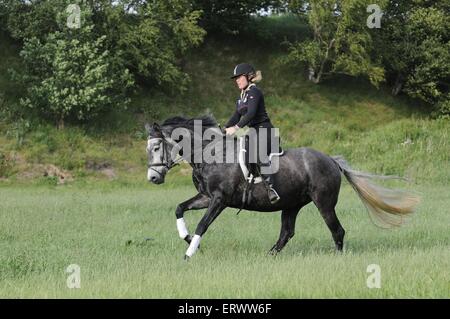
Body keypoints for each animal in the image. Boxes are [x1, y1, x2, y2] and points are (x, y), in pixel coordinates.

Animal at [146, 115, 420, 260]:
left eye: (157, 147)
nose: (153, 178)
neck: (210, 154)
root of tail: (331, 160)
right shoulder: (205, 197)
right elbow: (179, 209)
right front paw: (189, 239)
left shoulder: (219, 200)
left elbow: (203, 224)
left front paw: (189, 252)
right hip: (291, 205)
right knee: (287, 232)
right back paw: (269, 256)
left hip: (324, 203)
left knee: (337, 230)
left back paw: (337, 256)